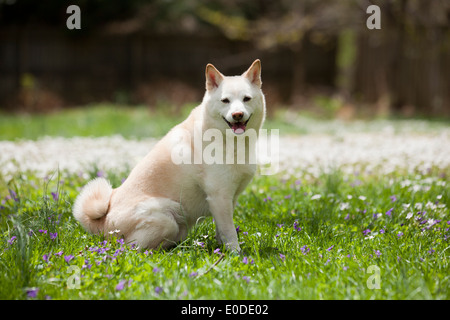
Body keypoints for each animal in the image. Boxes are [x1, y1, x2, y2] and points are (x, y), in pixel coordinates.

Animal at [72, 58, 266, 251]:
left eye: (246, 99)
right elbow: (230, 232)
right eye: (225, 100)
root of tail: (101, 224)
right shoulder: (219, 197)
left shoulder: (229, 199)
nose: (237, 114)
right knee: (132, 247)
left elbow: (223, 232)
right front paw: (236, 254)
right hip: (168, 218)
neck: (232, 142)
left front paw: (222, 250)